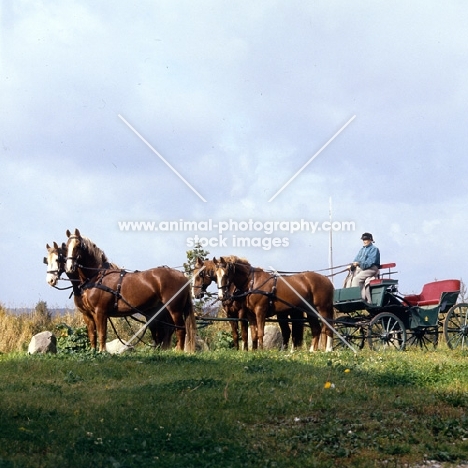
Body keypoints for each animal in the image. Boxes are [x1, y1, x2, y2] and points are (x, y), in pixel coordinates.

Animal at [64, 229, 196, 352]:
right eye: (66, 246)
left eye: (78, 245)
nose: (69, 267)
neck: (97, 276)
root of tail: (183, 275)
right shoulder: (88, 314)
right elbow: (92, 334)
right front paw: (93, 351)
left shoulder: (100, 312)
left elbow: (102, 333)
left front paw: (102, 352)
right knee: (168, 329)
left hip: (174, 309)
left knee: (180, 328)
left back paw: (179, 350)